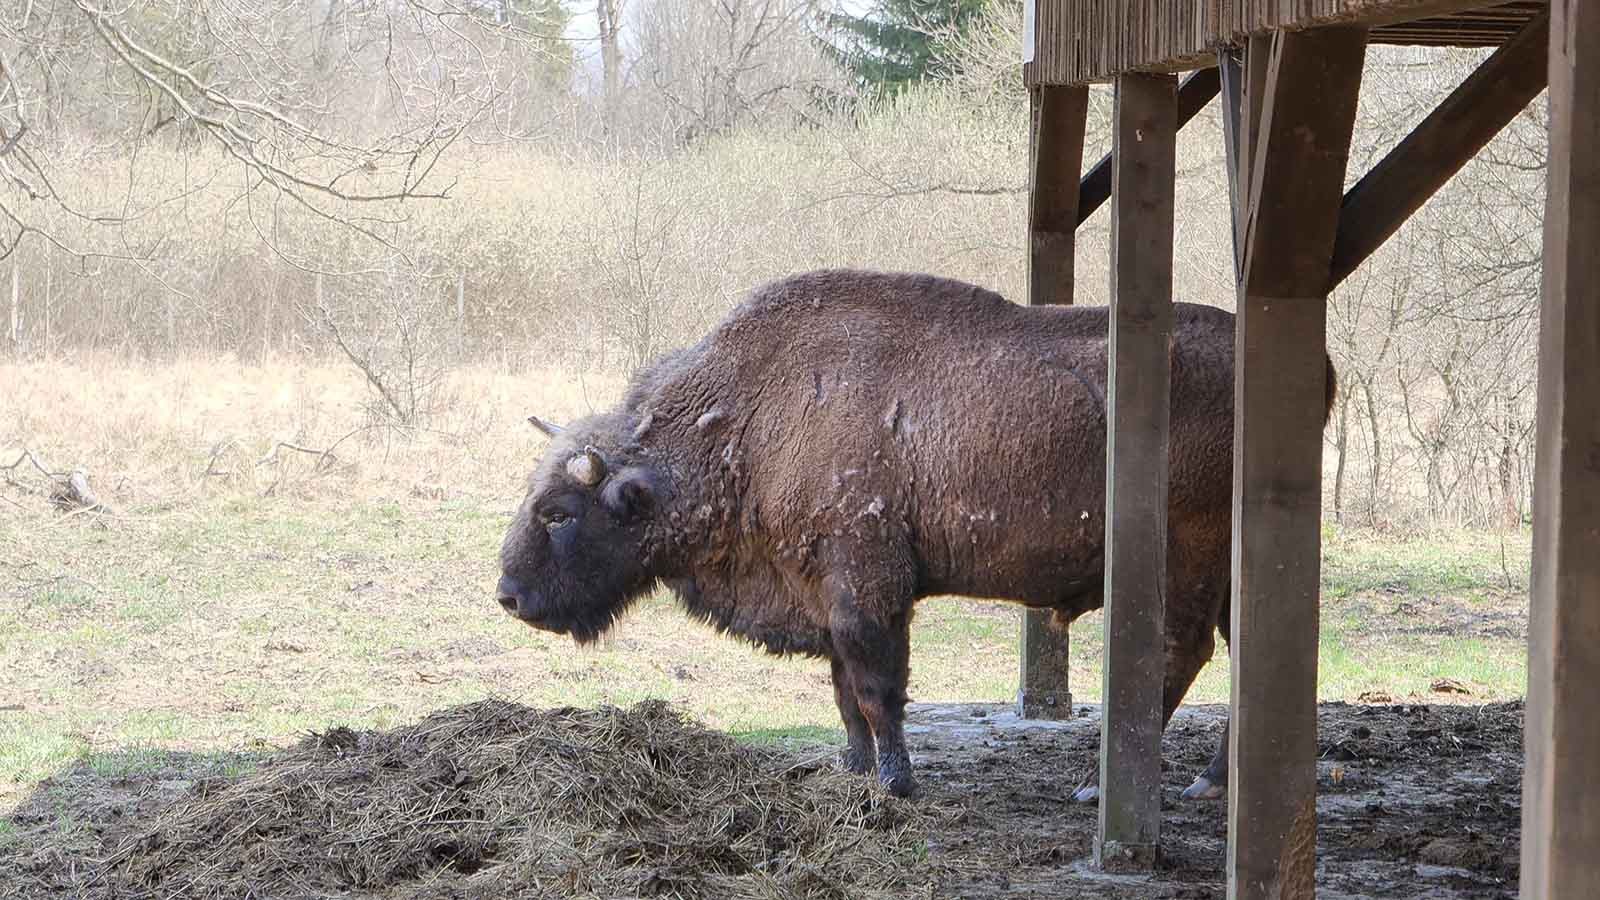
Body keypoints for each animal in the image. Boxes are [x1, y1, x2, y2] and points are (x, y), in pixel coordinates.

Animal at [492, 267, 1331, 797]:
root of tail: (1313, 373)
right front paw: (856, 771)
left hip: (1188, 552)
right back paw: (1208, 780)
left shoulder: (867, 586)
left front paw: (898, 783)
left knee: (1179, 652)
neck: (748, 420)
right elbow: (843, 691)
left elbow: (874, 686)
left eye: (559, 512)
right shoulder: (824, 592)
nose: (508, 596)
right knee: (1240, 654)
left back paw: (1106, 787)